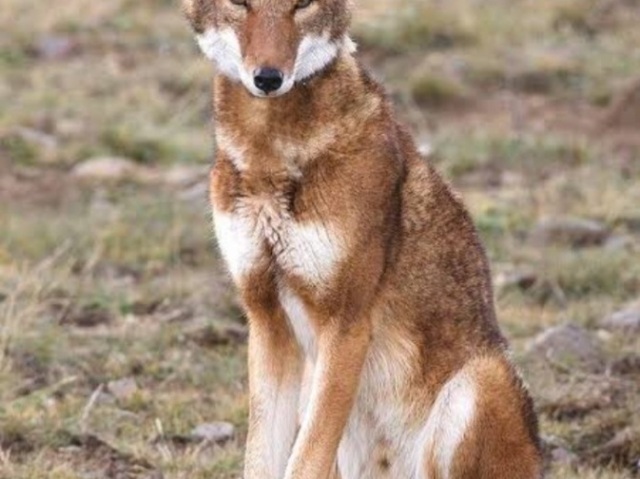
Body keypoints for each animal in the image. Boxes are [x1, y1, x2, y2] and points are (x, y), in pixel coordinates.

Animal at [182, 0, 544, 479]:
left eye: (302, 5)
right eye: (240, 5)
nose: (269, 78)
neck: (269, 160)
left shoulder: (345, 323)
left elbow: (305, 462)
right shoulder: (266, 321)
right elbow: (260, 461)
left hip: (481, 379)